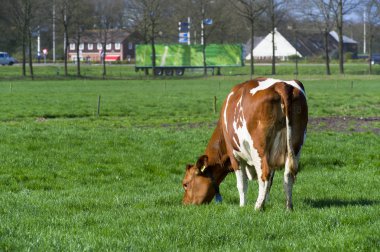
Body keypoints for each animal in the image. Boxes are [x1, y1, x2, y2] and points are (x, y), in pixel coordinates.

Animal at [182, 77, 308, 211]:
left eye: (185, 184)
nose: (184, 204)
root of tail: (280, 85)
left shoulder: (234, 156)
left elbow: (242, 184)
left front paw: (242, 205)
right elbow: (270, 183)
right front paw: (266, 202)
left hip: (259, 150)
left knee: (264, 175)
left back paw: (257, 207)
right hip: (295, 146)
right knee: (288, 175)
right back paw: (288, 208)